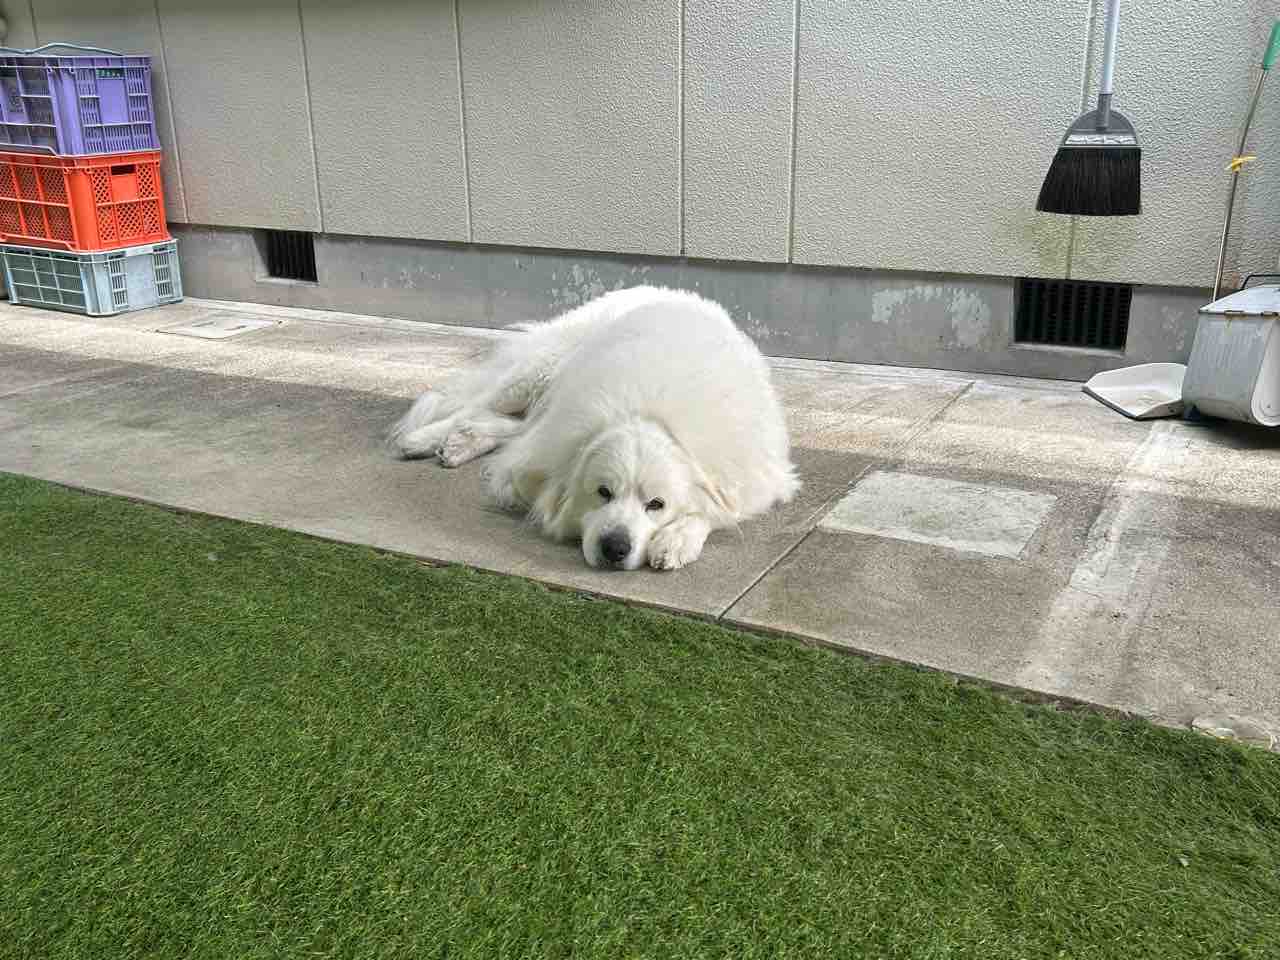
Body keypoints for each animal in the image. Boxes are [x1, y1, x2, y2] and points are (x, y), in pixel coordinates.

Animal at [388, 286, 799, 571]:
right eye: (603, 492)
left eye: (656, 504)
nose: (615, 548)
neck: (649, 412)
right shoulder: (541, 457)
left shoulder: (754, 477)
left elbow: (714, 510)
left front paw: (677, 540)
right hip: (540, 373)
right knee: (478, 406)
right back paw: (423, 439)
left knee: (512, 425)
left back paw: (460, 444)